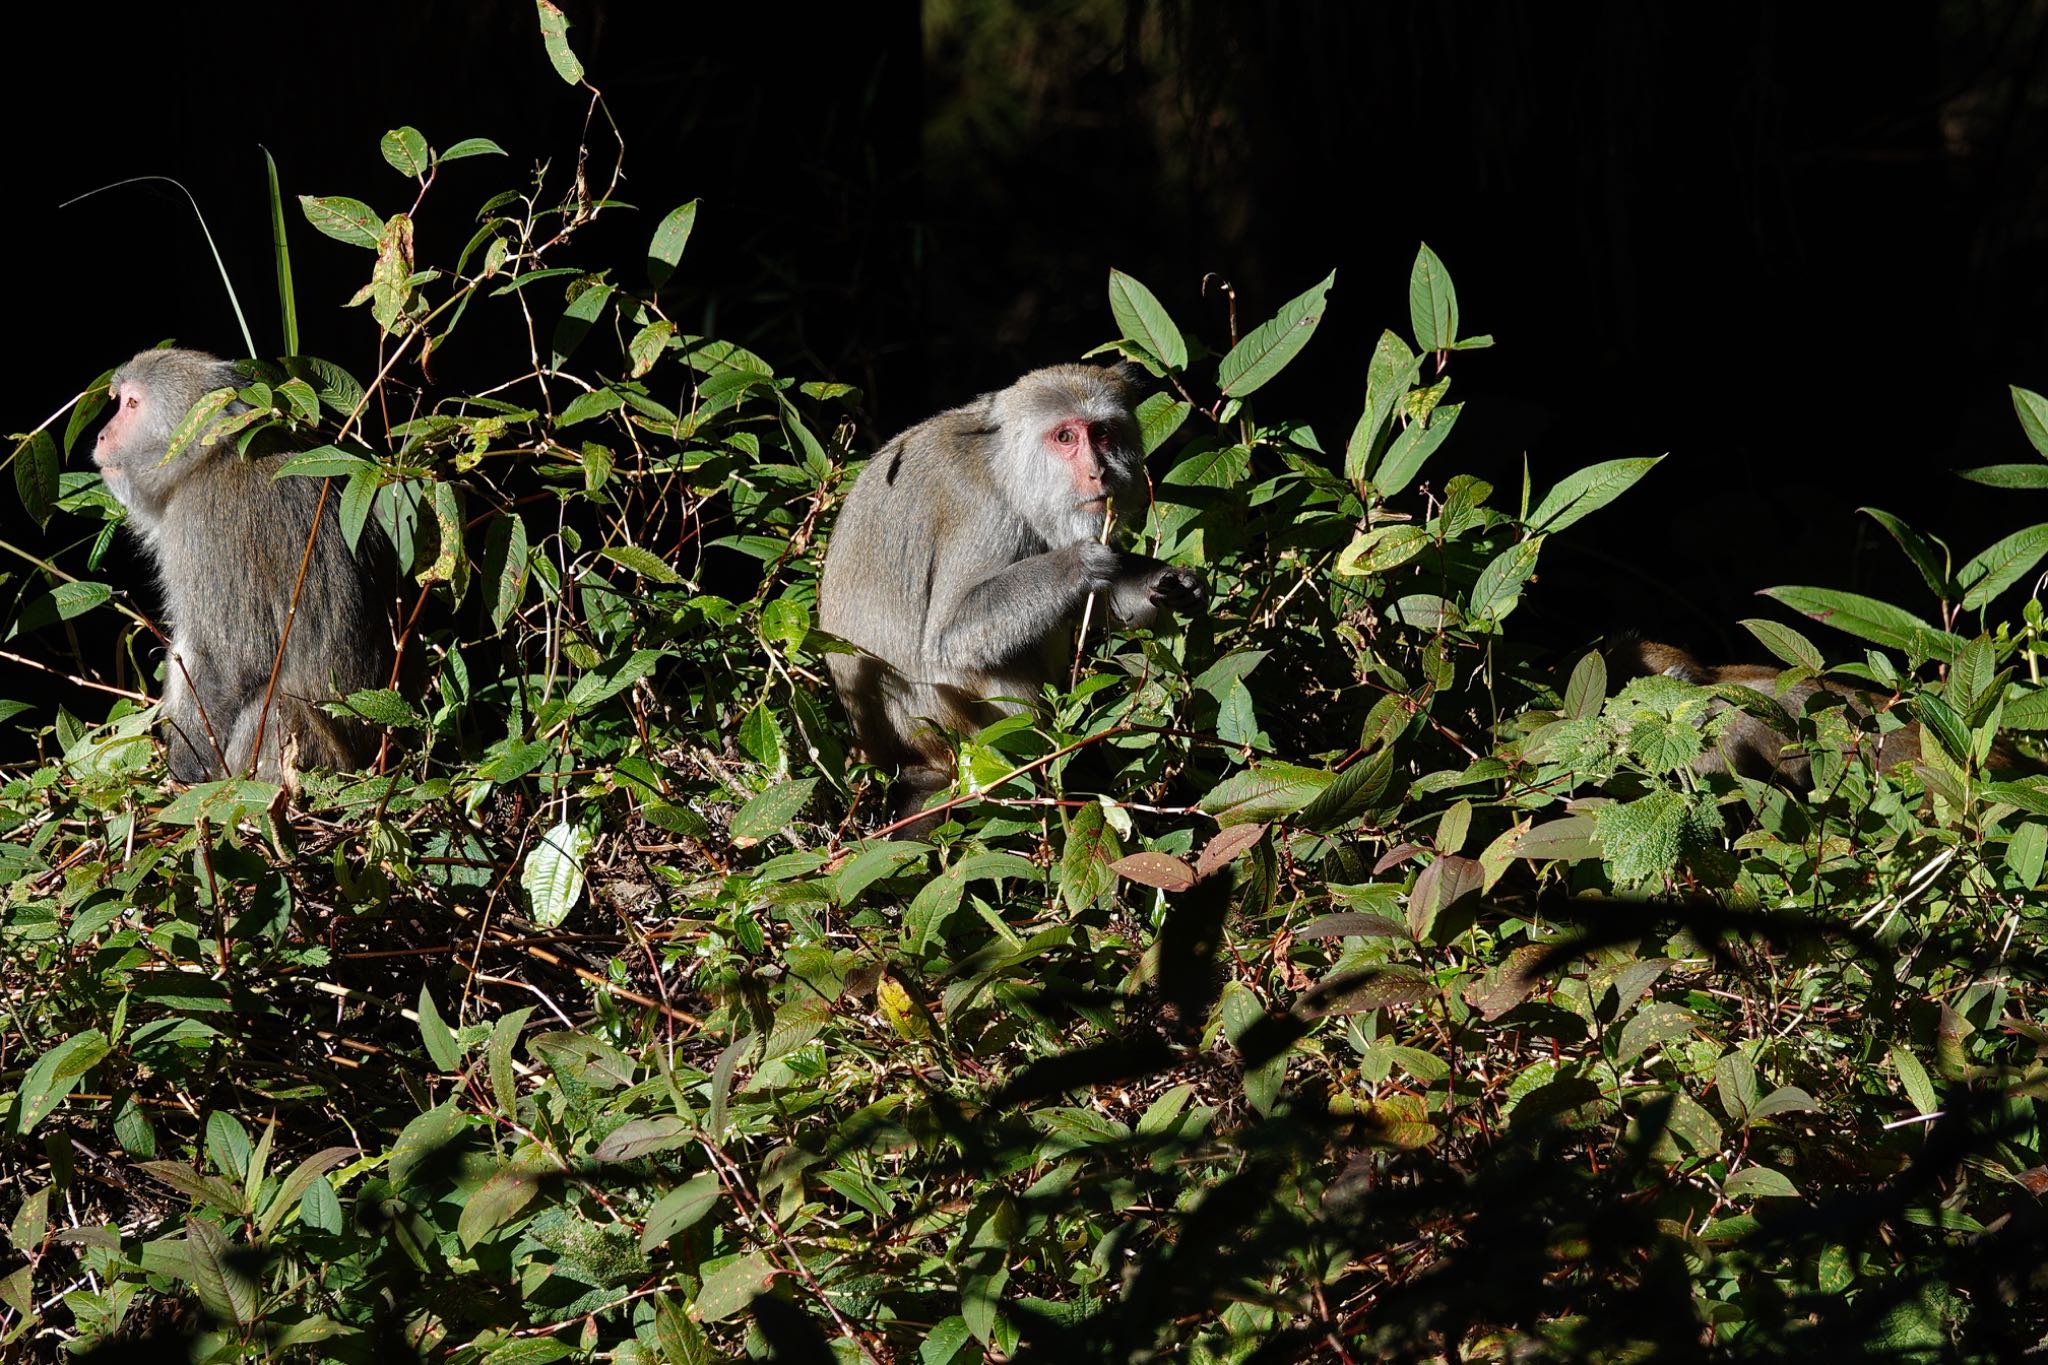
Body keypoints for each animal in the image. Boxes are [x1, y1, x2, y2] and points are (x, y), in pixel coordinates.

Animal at [93, 347, 395, 785]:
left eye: (131, 404)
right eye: (119, 402)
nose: (101, 435)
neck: (208, 461)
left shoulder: (205, 523)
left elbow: (228, 663)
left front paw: (185, 773)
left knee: (275, 708)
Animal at [815, 362, 1196, 822]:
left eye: (1102, 432)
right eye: (1065, 437)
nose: (1098, 472)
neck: (1005, 471)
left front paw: (1163, 584)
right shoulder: (984, 512)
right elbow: (946, 638)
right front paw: (1079, 563)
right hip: (953, 732)